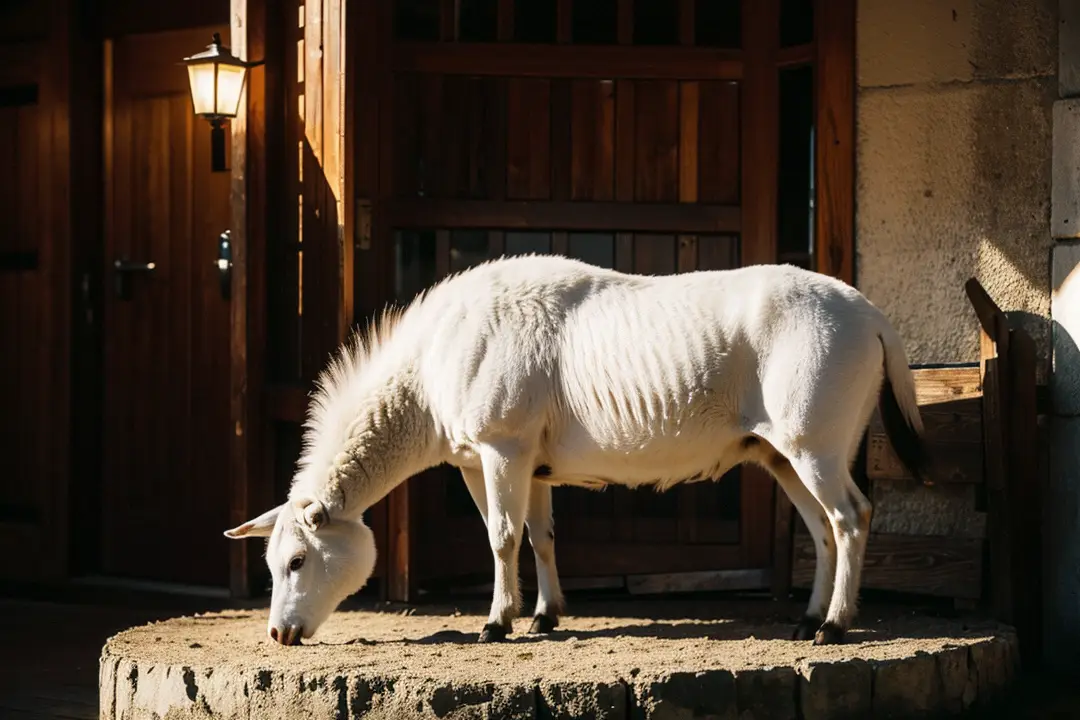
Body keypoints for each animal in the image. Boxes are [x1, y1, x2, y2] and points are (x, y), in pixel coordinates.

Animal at [223, 254, 924, 647]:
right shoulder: (513, 463)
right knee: (824, 529)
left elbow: (501, 537)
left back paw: (835, 628)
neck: (431, 364)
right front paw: (546, 616)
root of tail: (871, 315)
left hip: (815, 446)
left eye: (296, 561)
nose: (279, 635)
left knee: (851, 518)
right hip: (783, 454)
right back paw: (808, 619)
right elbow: (539, 536)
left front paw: (498, 624)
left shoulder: (500, 448)